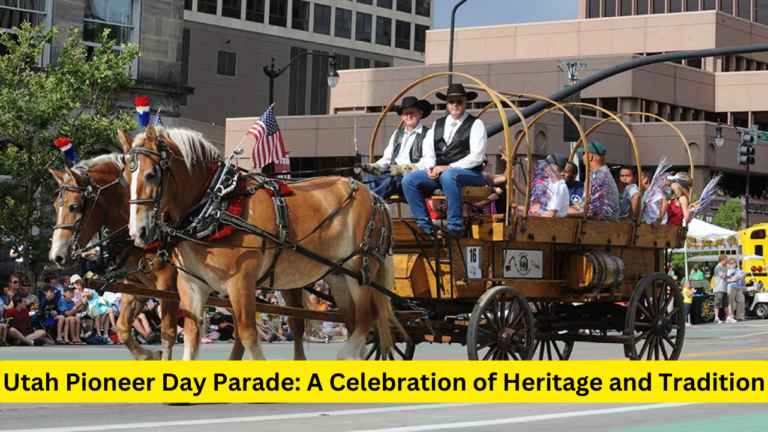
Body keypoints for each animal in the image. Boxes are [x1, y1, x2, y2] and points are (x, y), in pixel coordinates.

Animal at [121, 125, 402, 362]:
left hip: (360, 270)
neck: (216, 203)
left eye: (152, 174)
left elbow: (247, 334)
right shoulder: (191, 285)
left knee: (368, 317)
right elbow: (191, 335)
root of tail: (374, 195)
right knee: (354, 322)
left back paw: (346, 354)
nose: (138, 233)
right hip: (338, 276)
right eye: (125, 178)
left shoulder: (241, 282)